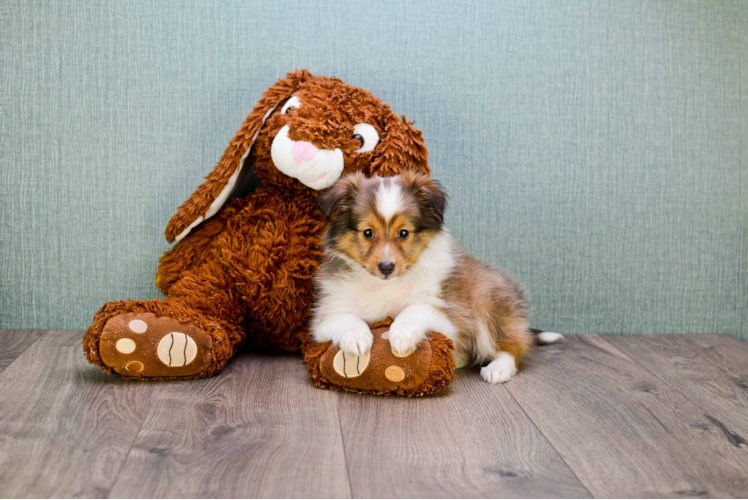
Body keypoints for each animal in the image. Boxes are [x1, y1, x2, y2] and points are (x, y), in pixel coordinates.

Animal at [310, 170, 560, 384]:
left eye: (404, 233)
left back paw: (498, 369)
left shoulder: (445, 315)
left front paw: (401, 334)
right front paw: (356, 339)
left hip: (488, 306)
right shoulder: (325, 317)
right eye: (368, 233)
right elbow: (346, 319)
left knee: (513, 349)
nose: (386, 267)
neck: (385, 285)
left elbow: (415, 309)